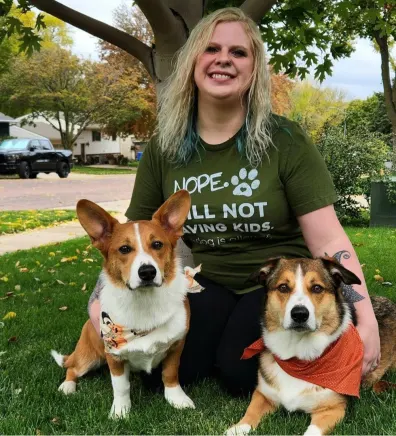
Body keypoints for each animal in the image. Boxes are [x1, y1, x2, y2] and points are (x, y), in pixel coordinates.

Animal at [50, 191, 196, 418]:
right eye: (124, 249)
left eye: (157, 245)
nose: (147, 272)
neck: (145, 301)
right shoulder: (114, 357)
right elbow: (120, 386)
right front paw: (120, 411)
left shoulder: (175, 347)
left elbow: (170, 374)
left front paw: (176, 399)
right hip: (88, 358)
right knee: (72, 368)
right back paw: (68, 386)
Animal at [227, 258, 396, 434]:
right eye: (283, 287)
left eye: (317, 288)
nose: (299, 314)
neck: (298, 357)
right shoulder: (263, 394)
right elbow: (251, 412)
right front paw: (236, 429)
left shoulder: (332, 409)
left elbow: (312, 431)